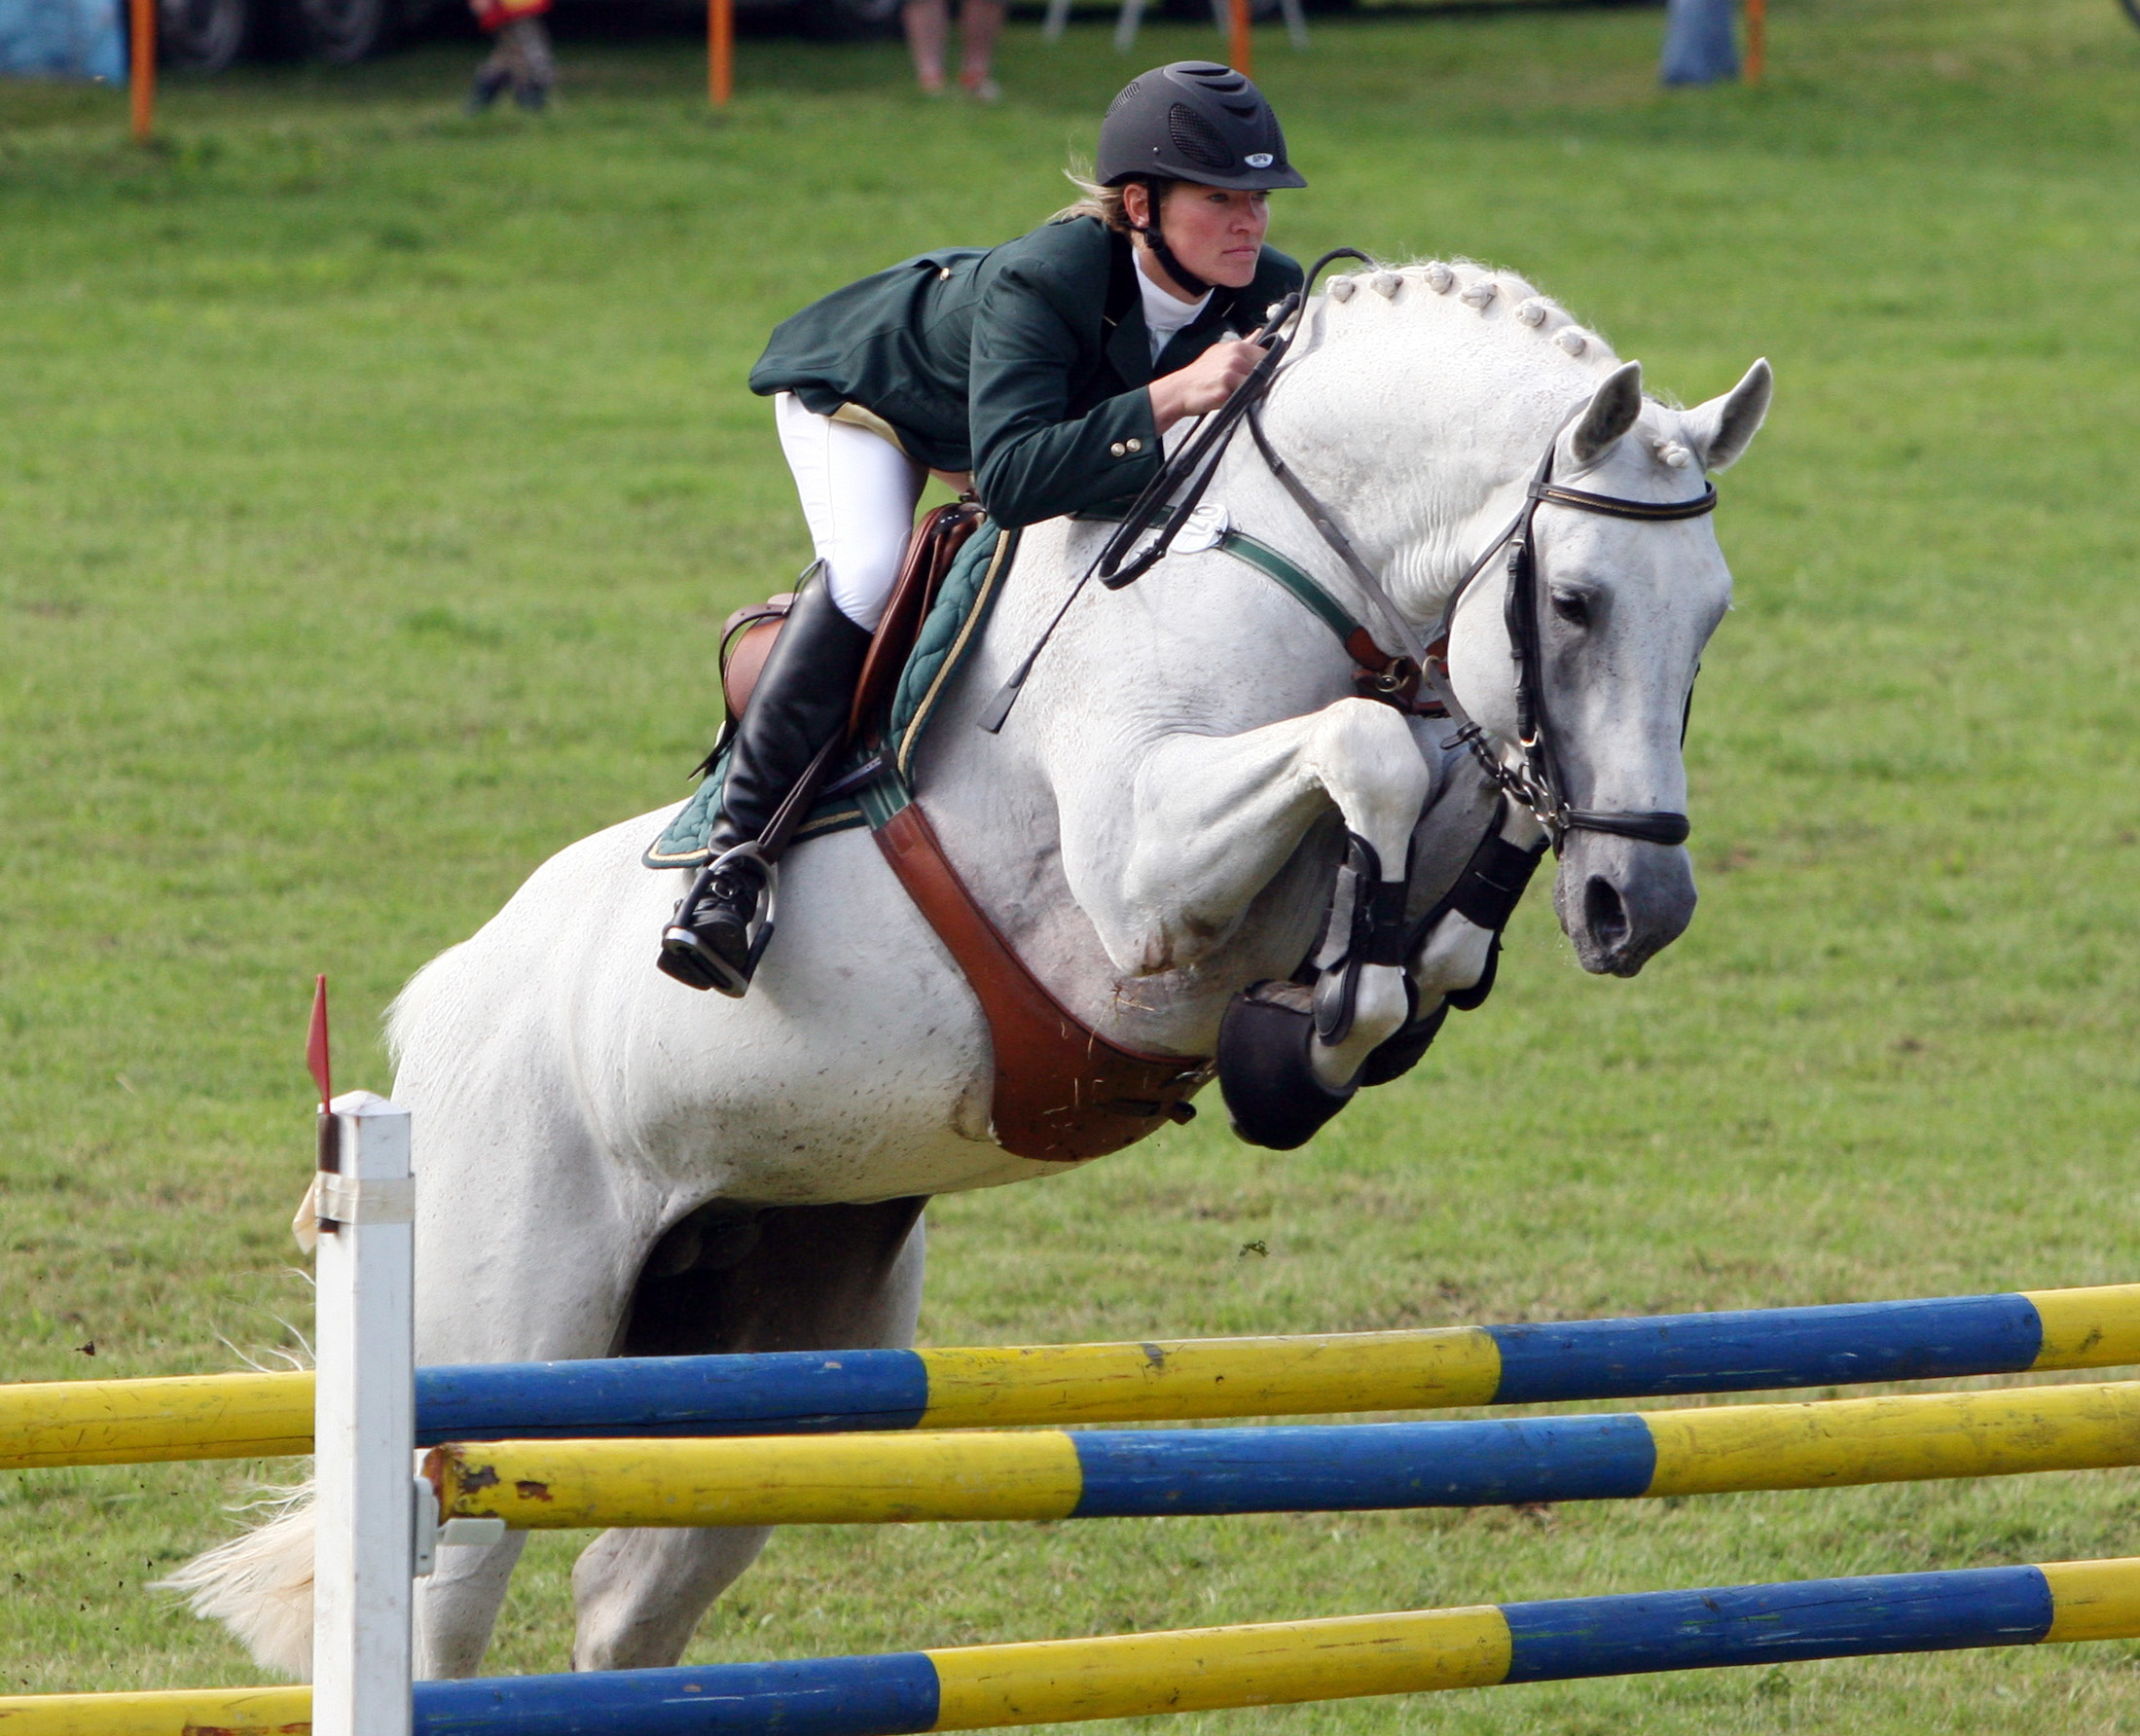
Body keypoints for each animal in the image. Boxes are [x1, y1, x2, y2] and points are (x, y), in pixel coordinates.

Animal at [175, 258, 1762, 1686]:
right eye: (1574, 602)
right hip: (509, 1342)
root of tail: (424, 1018)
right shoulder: (1139, 893)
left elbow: (1440, 816)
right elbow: (1364, 754)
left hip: (775, 1359)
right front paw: (1317, 1032)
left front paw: (1358, 1009)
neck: (1286, 560)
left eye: (1713, 614)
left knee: (630, 1603)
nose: (1643, 906)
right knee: (447, 1600)